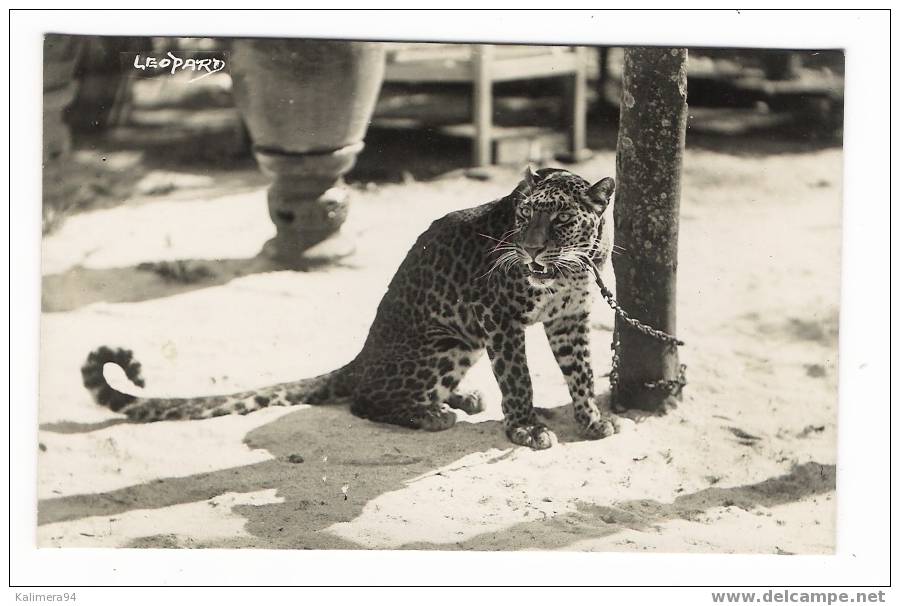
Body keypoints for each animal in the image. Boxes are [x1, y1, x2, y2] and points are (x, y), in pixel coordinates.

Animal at [82, 167, 620, 452]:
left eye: (561, 221)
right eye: (526, 216)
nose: (529, 251)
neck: (570, 269)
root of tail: (359, 358)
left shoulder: (569, 320)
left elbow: (581, 372)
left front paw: (592, 420)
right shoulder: (499, 319)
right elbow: (519, 379)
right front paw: (527, 428)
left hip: (463, 343)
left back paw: (461, 399)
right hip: (447, 343)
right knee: (366, 399)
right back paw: (434, 414)